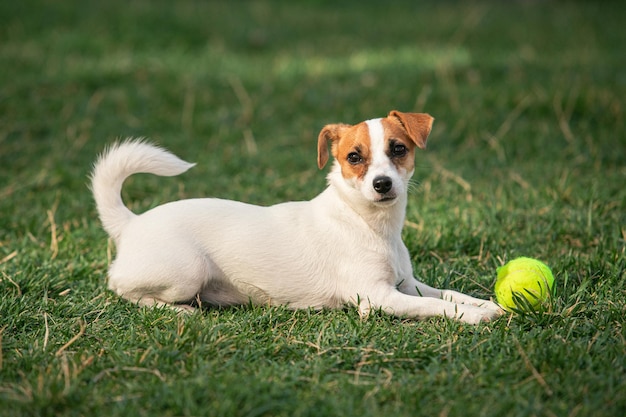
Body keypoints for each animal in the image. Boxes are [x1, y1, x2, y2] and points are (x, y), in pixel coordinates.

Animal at [90, 111, 502, 324]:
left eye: (398, 149)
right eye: (354, 157)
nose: (383, 184)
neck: (368, 223)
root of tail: (132, 222)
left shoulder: (407, 285)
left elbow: (448, 293)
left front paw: (488, 304)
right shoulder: (379, 297)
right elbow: (436, 306)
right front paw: (472, 316)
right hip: (186, 271)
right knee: (124, 291)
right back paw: (179, 310)